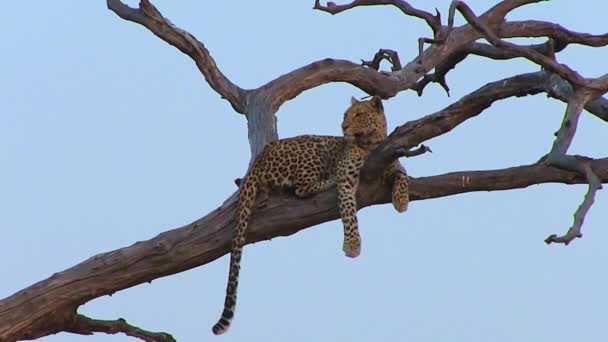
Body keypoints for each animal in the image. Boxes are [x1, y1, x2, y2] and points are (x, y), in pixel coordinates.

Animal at [213, 95, 408, 334]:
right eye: (346, 115)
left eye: (359, 115)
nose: (343, 127)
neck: (371, 145)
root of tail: (260, 158)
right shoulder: (347, 180)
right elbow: (349, 214)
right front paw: (352, 245)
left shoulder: (395, 163)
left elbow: (402, 177)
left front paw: (401, 201)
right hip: (312, 153)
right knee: (301, 188)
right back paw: (328, 180)